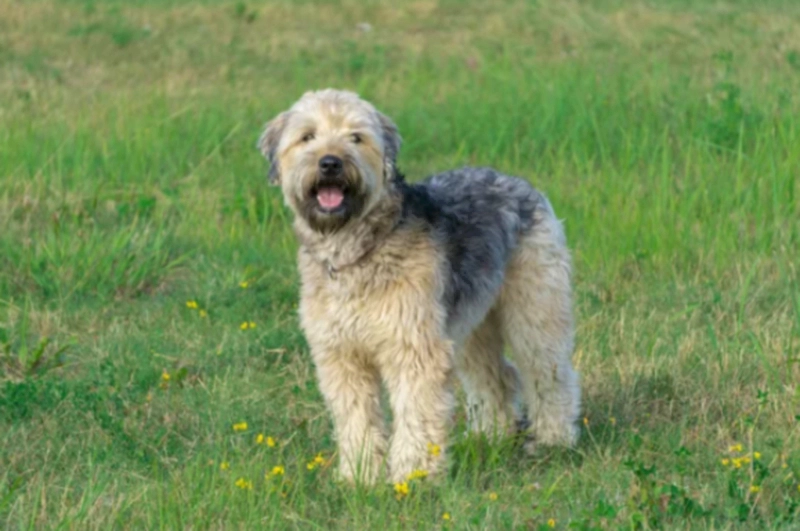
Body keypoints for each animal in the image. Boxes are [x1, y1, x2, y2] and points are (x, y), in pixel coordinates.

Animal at [260, 89, 580, 484]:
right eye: (308, 137)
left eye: (356, 137)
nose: (330, 163)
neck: (357, 249)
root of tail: (521, 183)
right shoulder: (341, 355)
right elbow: (356, 419)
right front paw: (359, 477)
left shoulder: (413, 345)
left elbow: (416, 413)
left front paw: (413, 478)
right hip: (470, 325)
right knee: (499, 377)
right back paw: (490, 437)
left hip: (535, 309)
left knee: (550, 374)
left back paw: (554, 440)